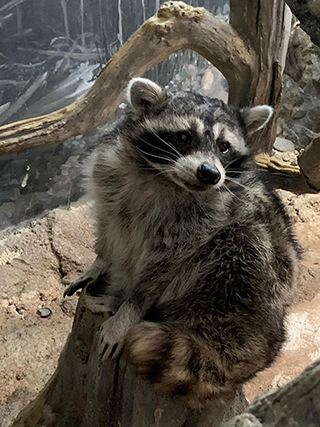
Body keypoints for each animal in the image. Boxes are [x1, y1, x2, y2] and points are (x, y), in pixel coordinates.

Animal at [64, 77, 300, 408]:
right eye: (184, 136)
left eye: (224, 147)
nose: (210, 174)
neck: (163, 177)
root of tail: (270, 338)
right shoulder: (109, 173)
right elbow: (108, 227)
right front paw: (99, 261)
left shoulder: (204, 221)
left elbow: (164, 266)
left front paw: (130, 309)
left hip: (254, 283)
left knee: (240, 242)